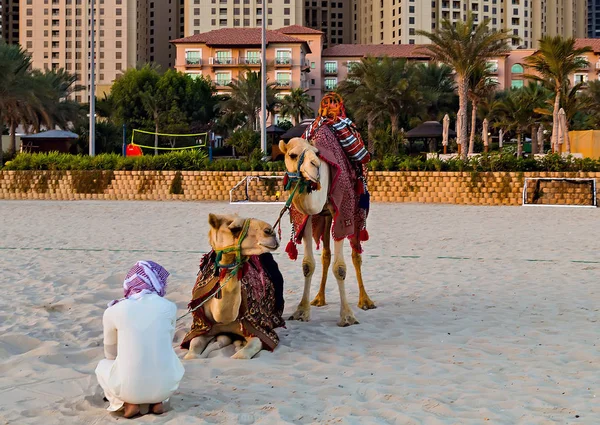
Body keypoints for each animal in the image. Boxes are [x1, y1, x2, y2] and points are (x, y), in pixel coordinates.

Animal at [182, 214, 284, 360]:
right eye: (234, 228)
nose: (270, 231)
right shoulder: (201, 327)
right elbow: (192, 354)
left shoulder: (258, 329)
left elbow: (241, 355)